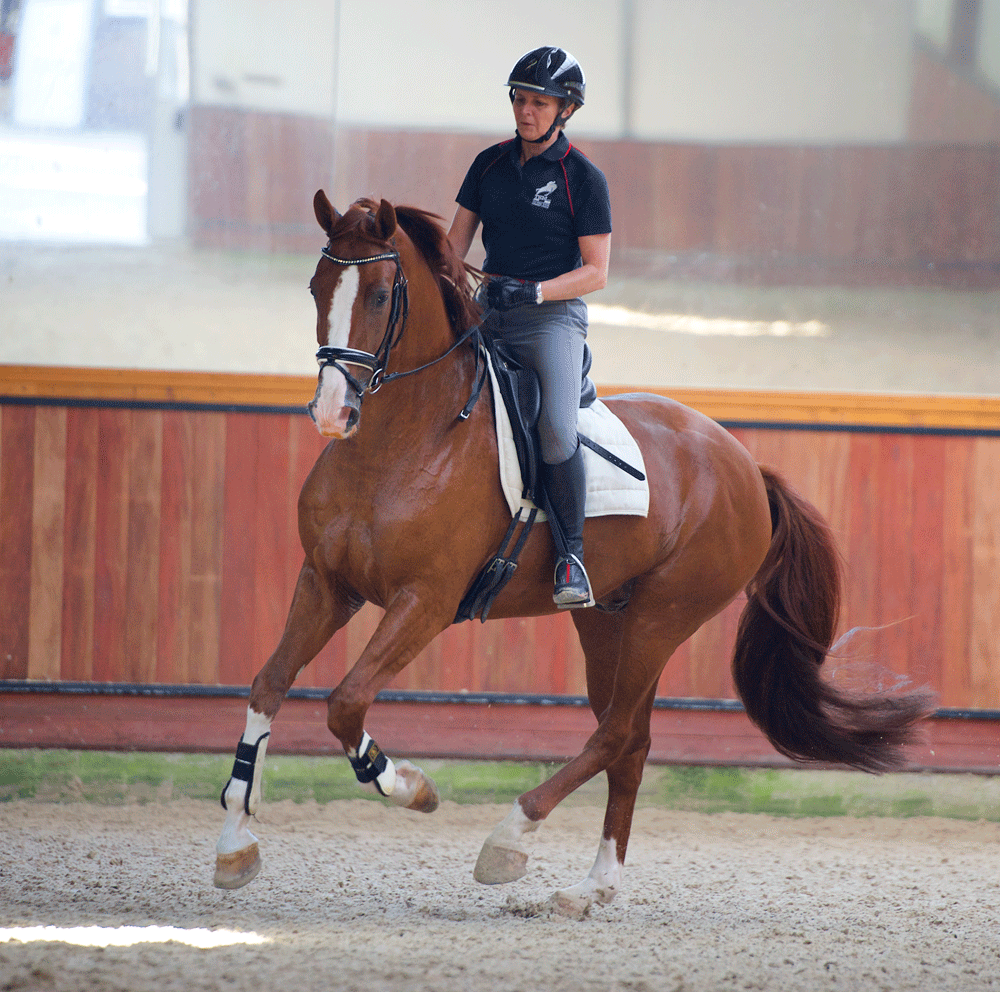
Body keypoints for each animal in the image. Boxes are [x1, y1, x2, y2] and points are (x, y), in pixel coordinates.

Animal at [215, 190, 932, 920]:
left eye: (383, 294)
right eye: (316, 287)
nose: (333, 412)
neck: (398, 442)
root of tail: (745, 466)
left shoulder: (425, 602)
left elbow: (345, 701)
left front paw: (412, 787)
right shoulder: (327, 582)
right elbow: (268, 684)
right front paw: (235, 842)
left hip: (664, 616)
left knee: (614, 734)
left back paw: (509, 839)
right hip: (603, 619)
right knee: (630, 740)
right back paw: (593, 886)